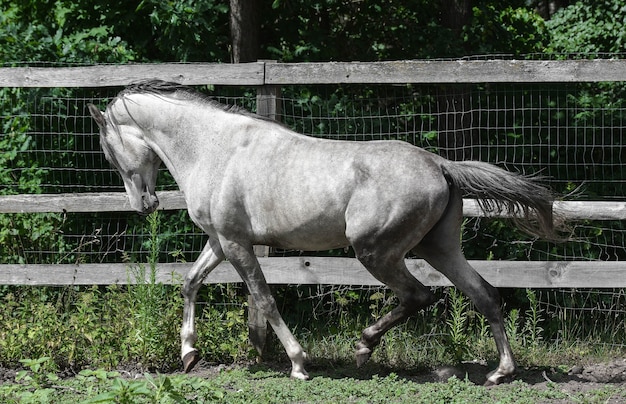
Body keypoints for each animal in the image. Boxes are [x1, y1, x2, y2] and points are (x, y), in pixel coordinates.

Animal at [86, 79, 552, 386]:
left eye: (108, 152)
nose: (143, 204)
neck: (214, 148)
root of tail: (440, 164)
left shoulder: (237, 243)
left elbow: (264, 299)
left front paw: (298, 363)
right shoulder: (220, 241)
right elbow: (190, 282)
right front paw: (188, 354)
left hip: (376, 251)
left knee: (420, 295)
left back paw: (364, 347)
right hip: (439, 247)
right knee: (484, 294)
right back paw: (499, 372)